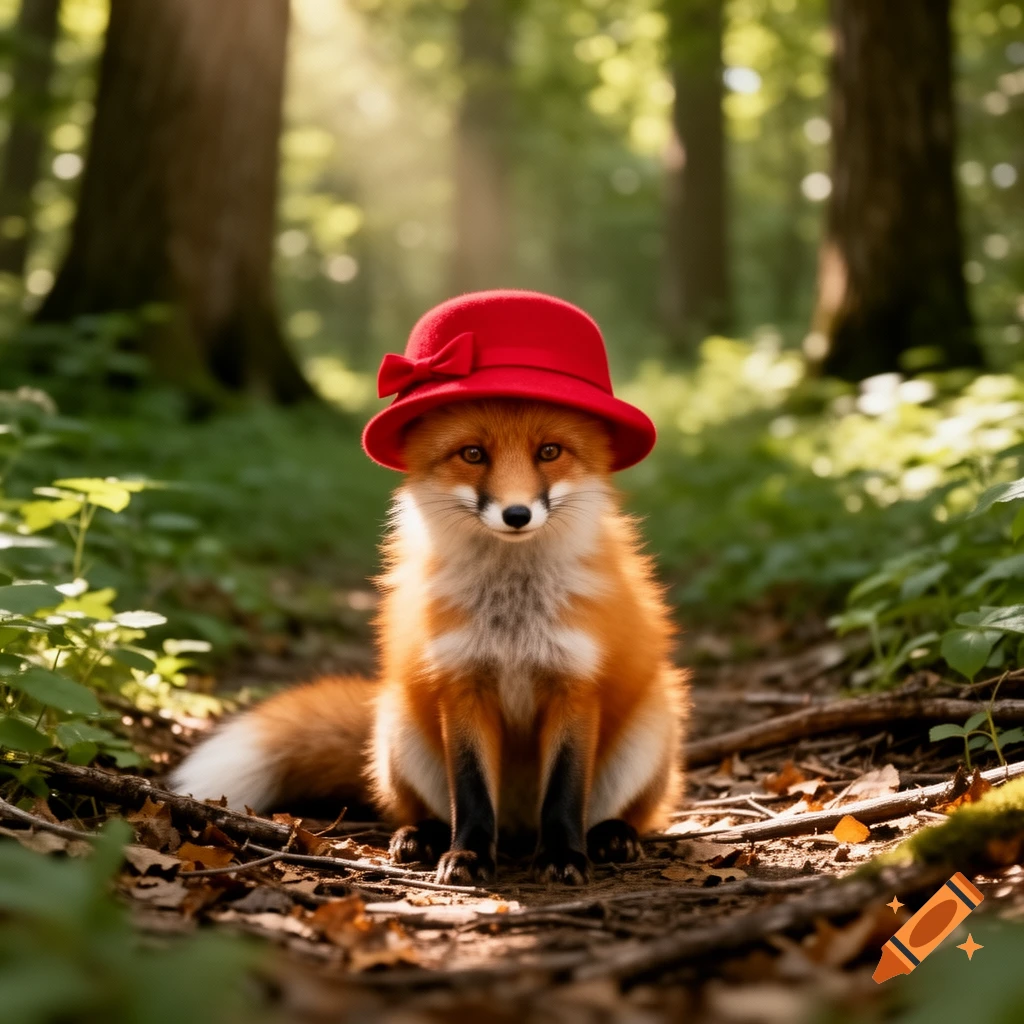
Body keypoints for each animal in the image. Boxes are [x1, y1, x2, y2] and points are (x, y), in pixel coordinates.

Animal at [171, 320, 687, 887]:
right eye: (473, 454)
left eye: (550, 452)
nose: (517, 514)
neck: (513, 616)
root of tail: (518, 825)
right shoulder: (460, 685)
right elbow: (471, 792)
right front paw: (467, 855)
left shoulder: (575, 687)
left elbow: (565, 794)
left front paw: (563, 856)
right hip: (399, 729)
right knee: (429, 808)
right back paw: (423, 836)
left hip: (652, 729)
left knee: (626, 812)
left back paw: (611, 836)